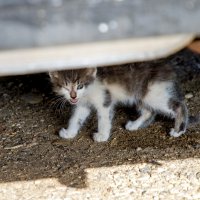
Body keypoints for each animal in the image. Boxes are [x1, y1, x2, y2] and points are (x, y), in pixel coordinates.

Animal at [49, 62, 188, 142]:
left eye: (80, 86)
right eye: (65, 87)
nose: (73, 96)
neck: (90, 89)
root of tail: (167, 68)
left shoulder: (105, 100)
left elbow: (104, 119)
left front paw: (102, 136)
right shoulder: (83, 104)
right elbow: (76, 118)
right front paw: (69, 133)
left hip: (154, 94)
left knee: (179, 105)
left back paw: (178, 131)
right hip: (141, 95)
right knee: (148, 112)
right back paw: (134, 125)